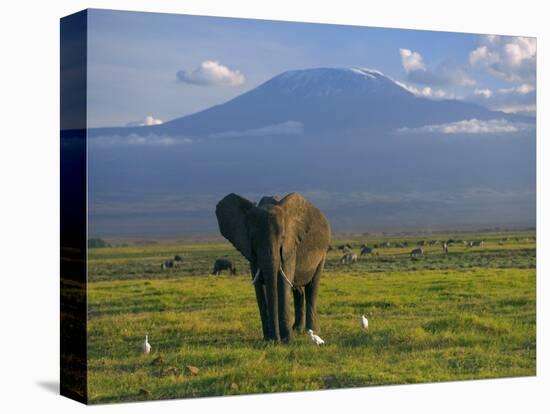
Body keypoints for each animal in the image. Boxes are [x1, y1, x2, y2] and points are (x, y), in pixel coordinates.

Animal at [218, 192, 332, 342]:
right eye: (253, 239)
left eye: (283, 237)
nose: (276, 339)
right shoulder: (252, 254)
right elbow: (259, 287)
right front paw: (269, 340)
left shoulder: (290, 246)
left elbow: (282, 283)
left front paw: (287, 341)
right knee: (298, 290)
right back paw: (297, 329)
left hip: (323, 252)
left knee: (312, 287)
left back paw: (311, 331)